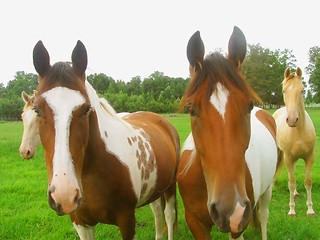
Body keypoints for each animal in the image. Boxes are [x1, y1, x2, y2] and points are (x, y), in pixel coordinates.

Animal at [31, 40, 181, 239]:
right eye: (37, 110)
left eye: (86, 109)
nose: (65, 195)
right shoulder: (81, 223)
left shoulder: (127, 220)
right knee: (157, 212)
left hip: (170, 186)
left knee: (169, 216)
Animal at [176, 26, 278, 240]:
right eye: (191, 109)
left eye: (249, 106)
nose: (230, 210)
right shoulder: (195, 223)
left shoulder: (238, 226)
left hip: (267, 190)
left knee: (263, 215)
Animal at [272, 67, 316, 216]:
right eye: (284, 91)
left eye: (302, 90)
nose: (292, 120)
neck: (299, 132)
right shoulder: (288, 158)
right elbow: (291, 183)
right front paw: (291, 210)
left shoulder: (309, 157)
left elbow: (308, 182)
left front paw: (310, 210)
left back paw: (296, 194)